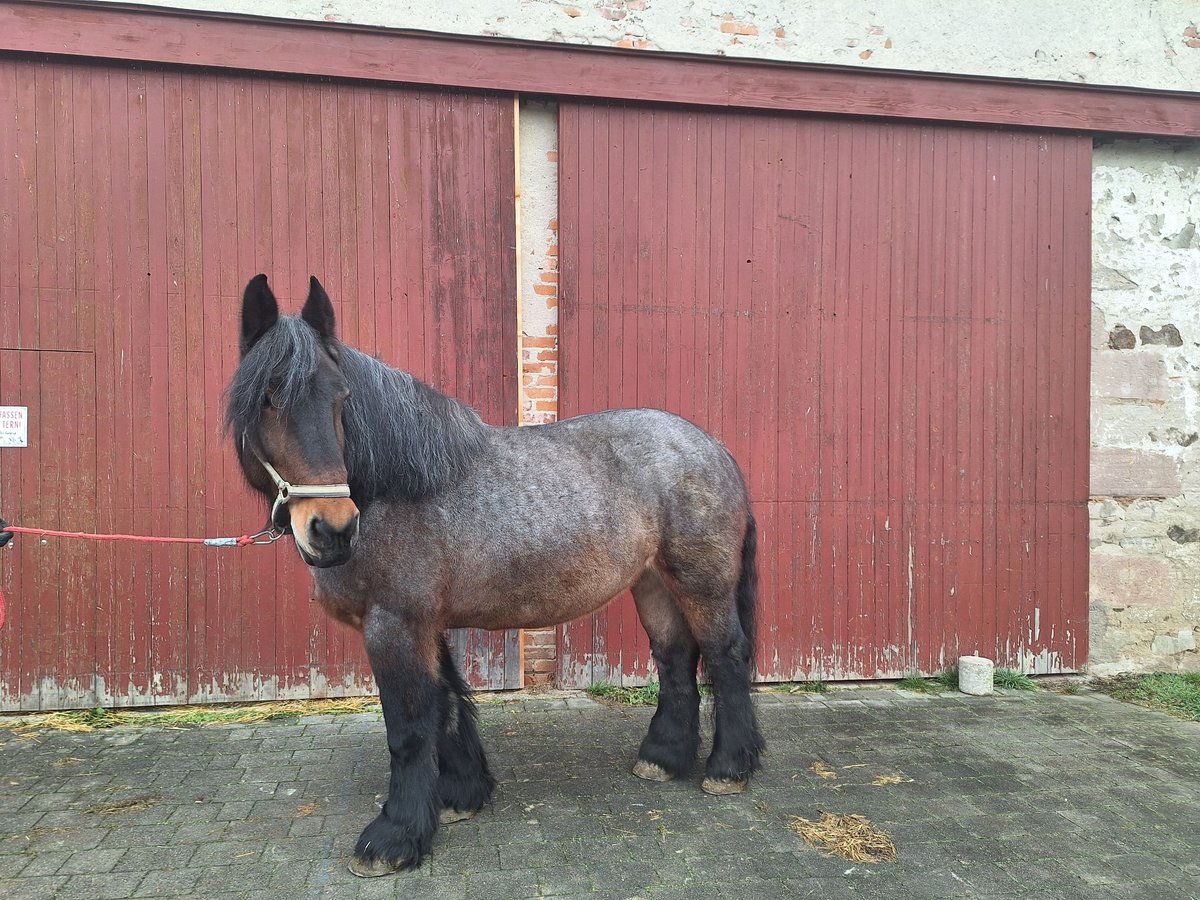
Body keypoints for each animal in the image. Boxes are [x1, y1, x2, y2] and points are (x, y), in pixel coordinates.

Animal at [227, 274, 764, 877]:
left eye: (341, 399)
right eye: (267, 399)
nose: (333, 529)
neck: (396, 488)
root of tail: (713, 448)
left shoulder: (394, 624)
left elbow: (408, 727)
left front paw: (394, 836)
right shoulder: (423, 623)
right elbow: (445, 704)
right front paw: (461, 794)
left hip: (702, 582)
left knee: (725, 655)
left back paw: (728, 768)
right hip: (653, 583)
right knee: (675, 658)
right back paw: (663, 757)